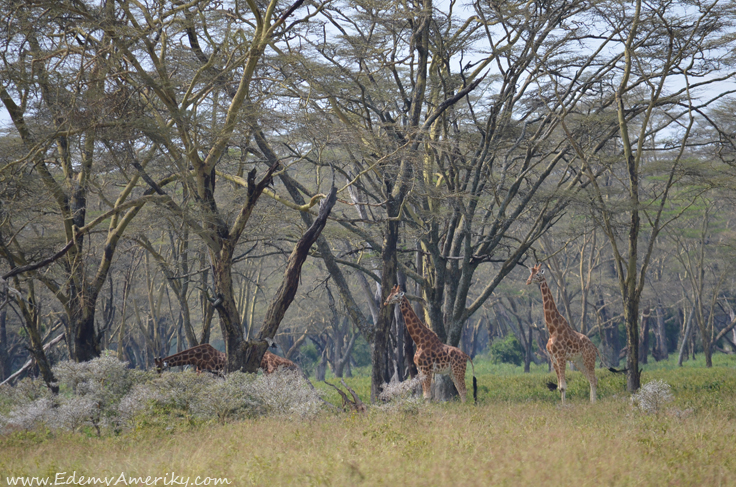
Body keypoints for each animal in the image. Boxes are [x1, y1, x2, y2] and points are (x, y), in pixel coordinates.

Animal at [524, 264, 600, 402]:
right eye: (530, 273)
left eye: (538, 274)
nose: (528, 281)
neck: (552, 329)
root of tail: (595, 347)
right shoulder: (553, 358)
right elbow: (560, 387)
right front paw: (562, 404)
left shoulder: (561, 356)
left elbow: (563, 386)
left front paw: (564, 405)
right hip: (578, 361)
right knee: (592, 379)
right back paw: (592, 403)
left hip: (588, 359)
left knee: (593, 379)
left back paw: (594, 403)